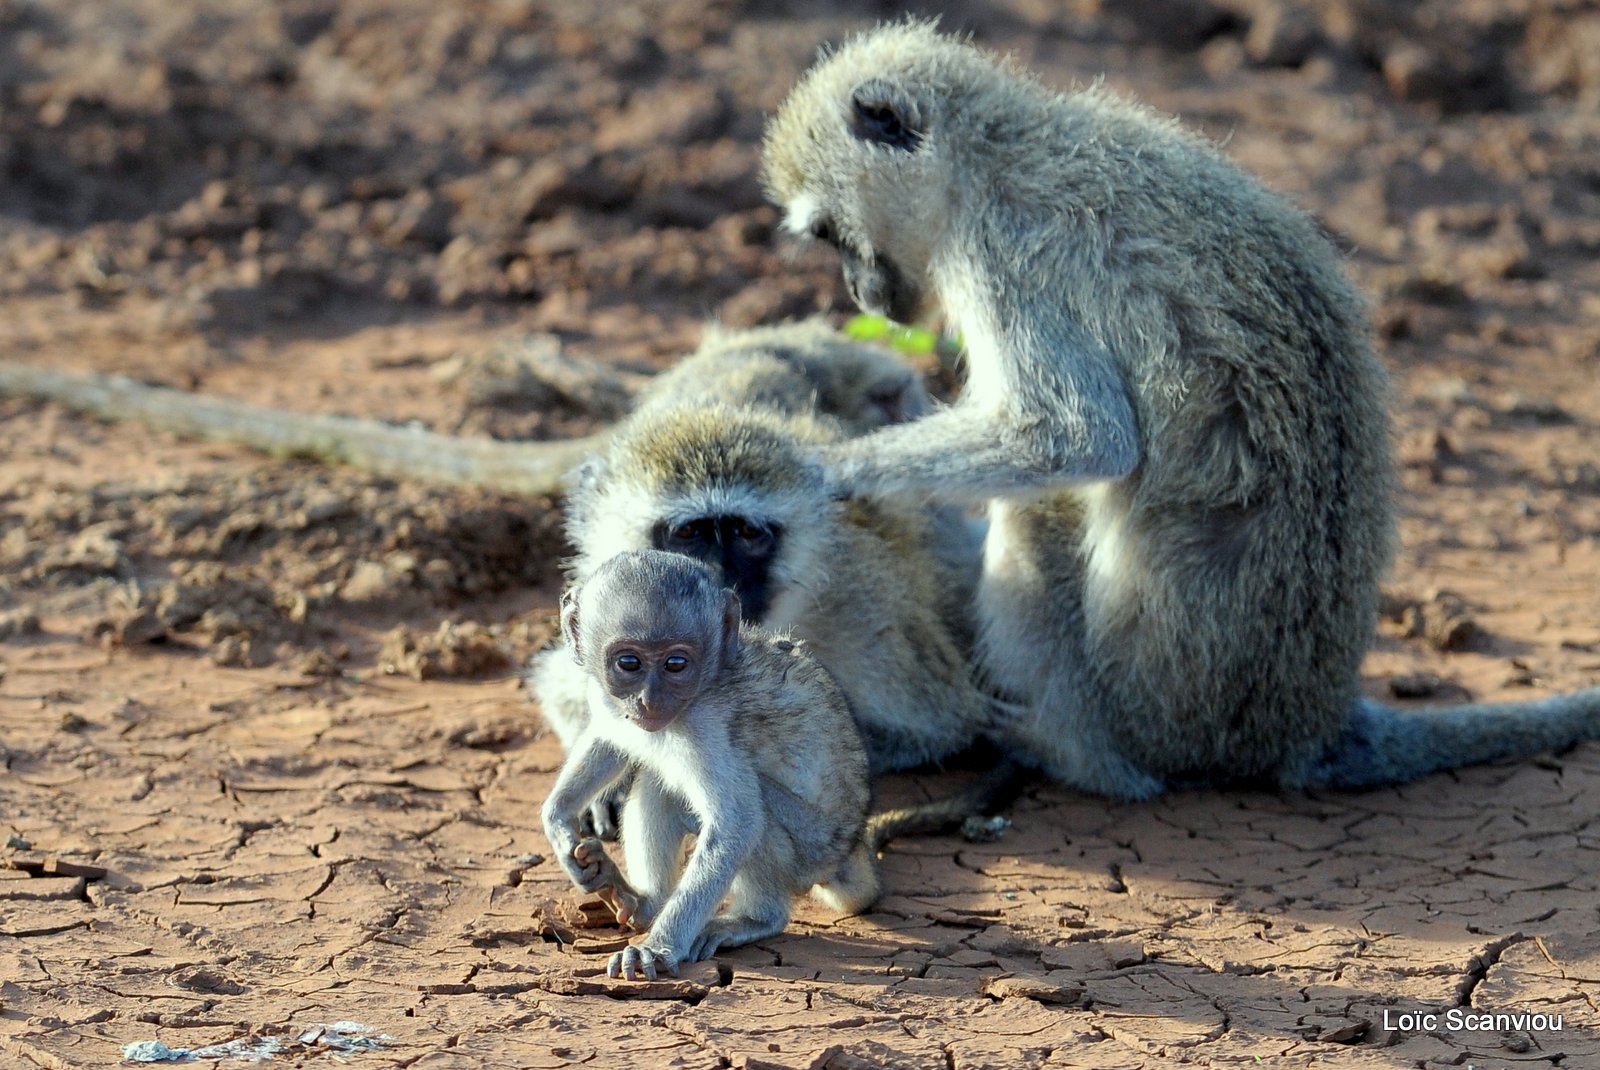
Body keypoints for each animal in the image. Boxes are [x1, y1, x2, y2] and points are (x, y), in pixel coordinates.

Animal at [544, 550, 883, 978]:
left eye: (676, 664)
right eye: (628, 663)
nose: (650, 701)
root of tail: (850, 845)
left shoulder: (707, 728)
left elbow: (738, 824)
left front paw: (657, 949)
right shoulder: (606, 695)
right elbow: (610, 738)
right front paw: (558, 821)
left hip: (812, 849)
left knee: (754, 810)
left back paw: (755, 918)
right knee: (658, 789)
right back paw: (643, 903)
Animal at [764, 20, 1600, 796]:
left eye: (834, 235)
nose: (860, 295)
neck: (994, 151)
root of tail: (1301, 725)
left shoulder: (1007, 254)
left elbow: (1074, 439)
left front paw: (829, 466)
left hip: (1146, 702)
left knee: (1041, 512)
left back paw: (1071, 753)